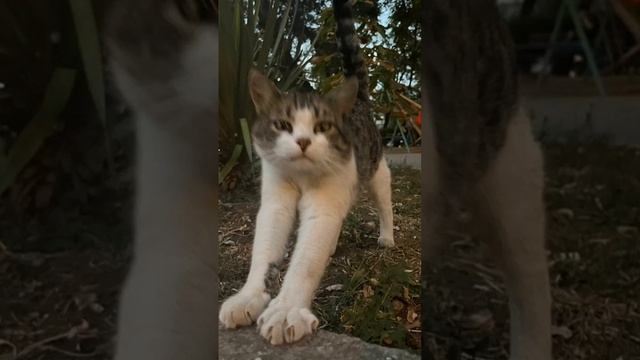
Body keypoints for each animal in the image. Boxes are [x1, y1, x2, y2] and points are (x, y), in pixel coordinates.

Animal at [218, 0, 392, 346]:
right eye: (282, 124)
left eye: (323, 126)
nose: (302, 141)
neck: (301, 177)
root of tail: (359, 100)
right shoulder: (275, 203)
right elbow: (264, 252)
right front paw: (247, 299)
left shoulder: (324, 205)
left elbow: (306, 260)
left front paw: (286, 311)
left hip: (376, 171)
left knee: (384, 202)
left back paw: (388, 236)